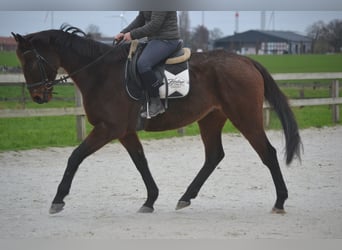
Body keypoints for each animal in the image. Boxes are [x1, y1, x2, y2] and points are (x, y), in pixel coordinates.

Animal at [12, 26, 300, 215]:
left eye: (29, 60)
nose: (37, 96)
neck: (100, 73)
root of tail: (246, 60)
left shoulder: (108, 129)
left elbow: (75, 157)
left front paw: (58, 199)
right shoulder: (125, 132)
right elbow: (141, 162)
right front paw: (150, 200)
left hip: (245, 117)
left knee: (268, 153)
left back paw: (280, 202)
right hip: (210, 119)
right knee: (214, 156)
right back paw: (185, 197)